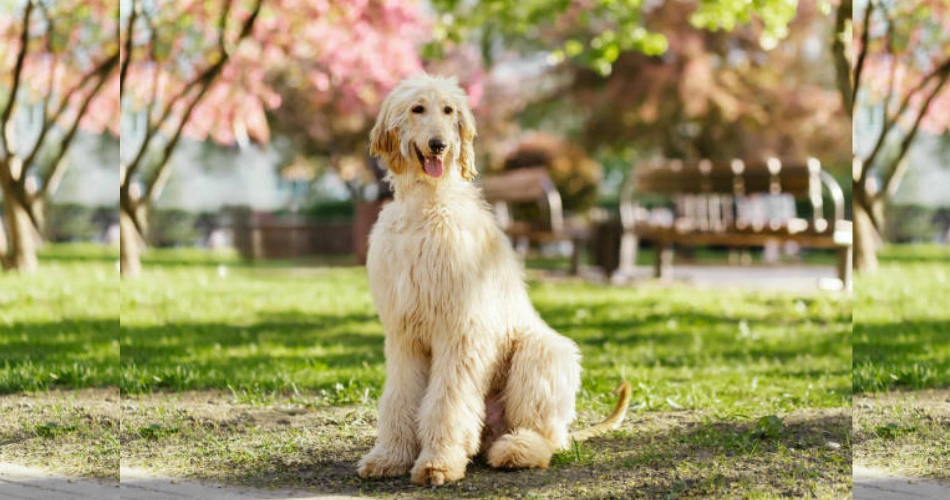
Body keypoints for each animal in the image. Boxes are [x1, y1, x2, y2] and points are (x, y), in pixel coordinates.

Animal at [356, 73, 632, 484]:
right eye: (418, 108)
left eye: (449, 110)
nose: (440, 145)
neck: (429, 206)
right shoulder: (405, 333)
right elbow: (400, 397)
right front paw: (390, 456)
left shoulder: (460, 329)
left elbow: (447, 401)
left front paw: (438, 461)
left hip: (542, 351)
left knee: (545, 435)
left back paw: (518, 449)